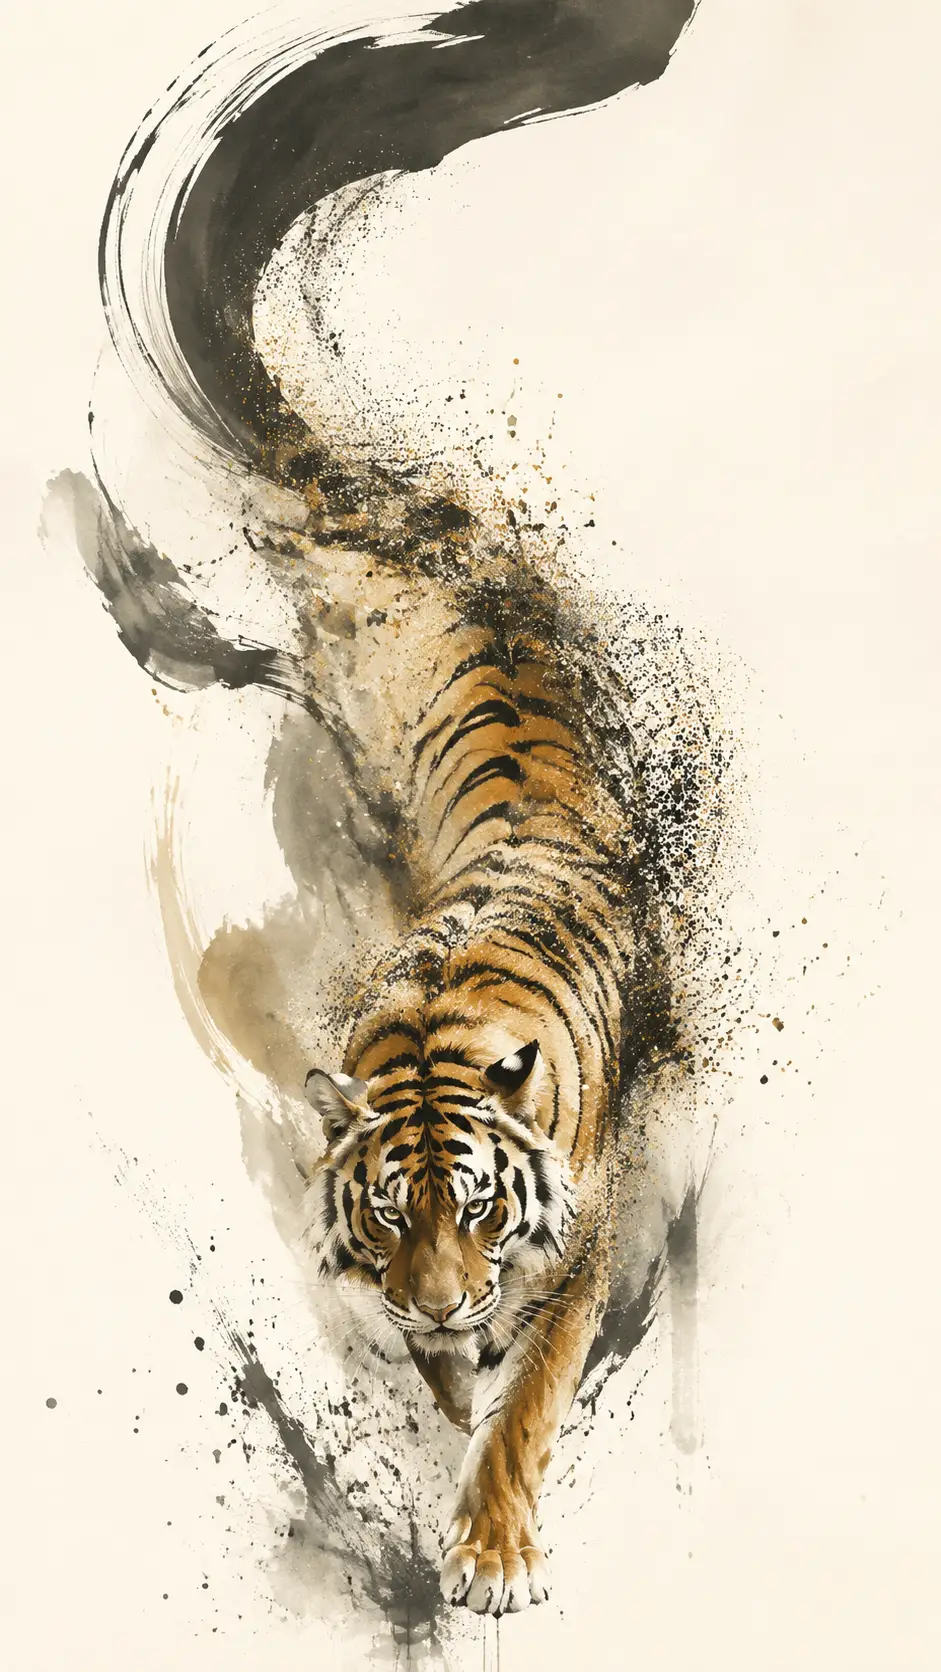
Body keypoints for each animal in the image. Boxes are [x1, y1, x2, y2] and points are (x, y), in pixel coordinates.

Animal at [77, 0, 702, 1624]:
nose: (441, 1303)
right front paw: (439, 1420)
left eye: (475, 1208)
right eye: (387, 1215)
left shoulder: (581, 1227)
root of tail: (399, 526)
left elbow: (534, 1380)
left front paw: (487, 1543)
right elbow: (437, 1378)